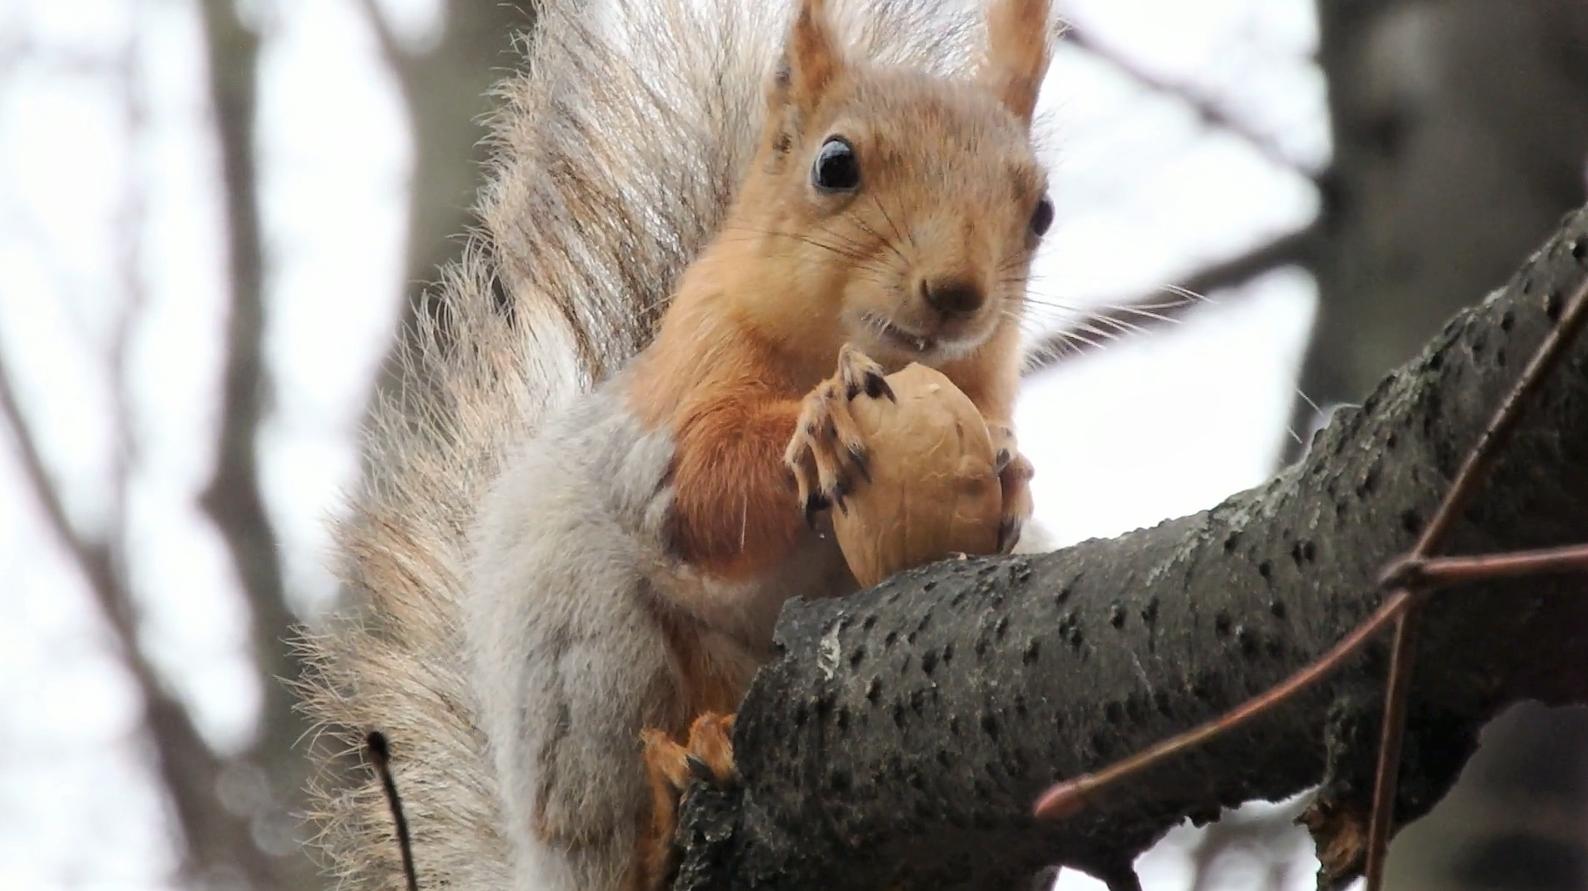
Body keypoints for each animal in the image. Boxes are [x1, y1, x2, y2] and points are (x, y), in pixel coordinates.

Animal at [295, 0, 1067, 883]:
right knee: (610, 824)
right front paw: (817, 421)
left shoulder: (983, 390)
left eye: (1042, 212)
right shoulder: (683, 385)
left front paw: (1010, 474)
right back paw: (669, 797)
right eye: (834, 164)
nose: (957, 292)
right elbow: (703, 492)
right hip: (585, 654)